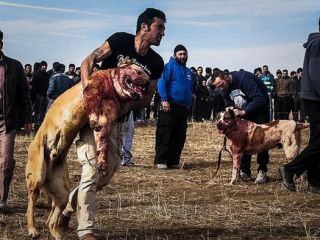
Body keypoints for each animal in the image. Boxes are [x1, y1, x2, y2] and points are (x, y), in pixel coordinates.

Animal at [25, 64, 149, 240]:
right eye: (138, 71)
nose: (148, 82)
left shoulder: (105, 119)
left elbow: (102, 139)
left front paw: (102, 162)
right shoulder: (93, 89)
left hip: (62, 192)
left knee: (51, 219)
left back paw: (57, 234)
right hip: (37, 177)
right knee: (30, 206)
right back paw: (32, 229)